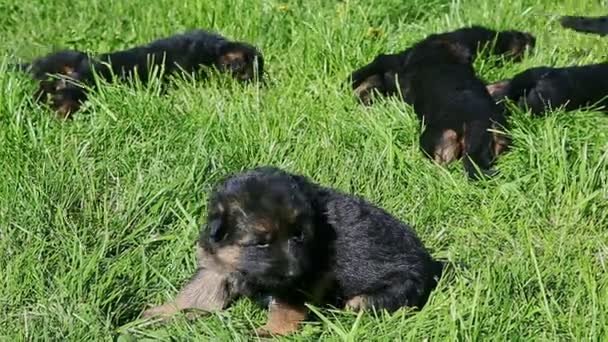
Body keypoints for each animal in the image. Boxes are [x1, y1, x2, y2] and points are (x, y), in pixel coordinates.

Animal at [144, 167, 446, 336]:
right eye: (261, 242)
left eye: (299, 235)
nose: (293, 271)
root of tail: (430, 265)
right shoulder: (216, 268)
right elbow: (194, 295)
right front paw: (161, 313)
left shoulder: (303, 281)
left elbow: (285, 308)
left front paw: (271, 332)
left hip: (386, 291)